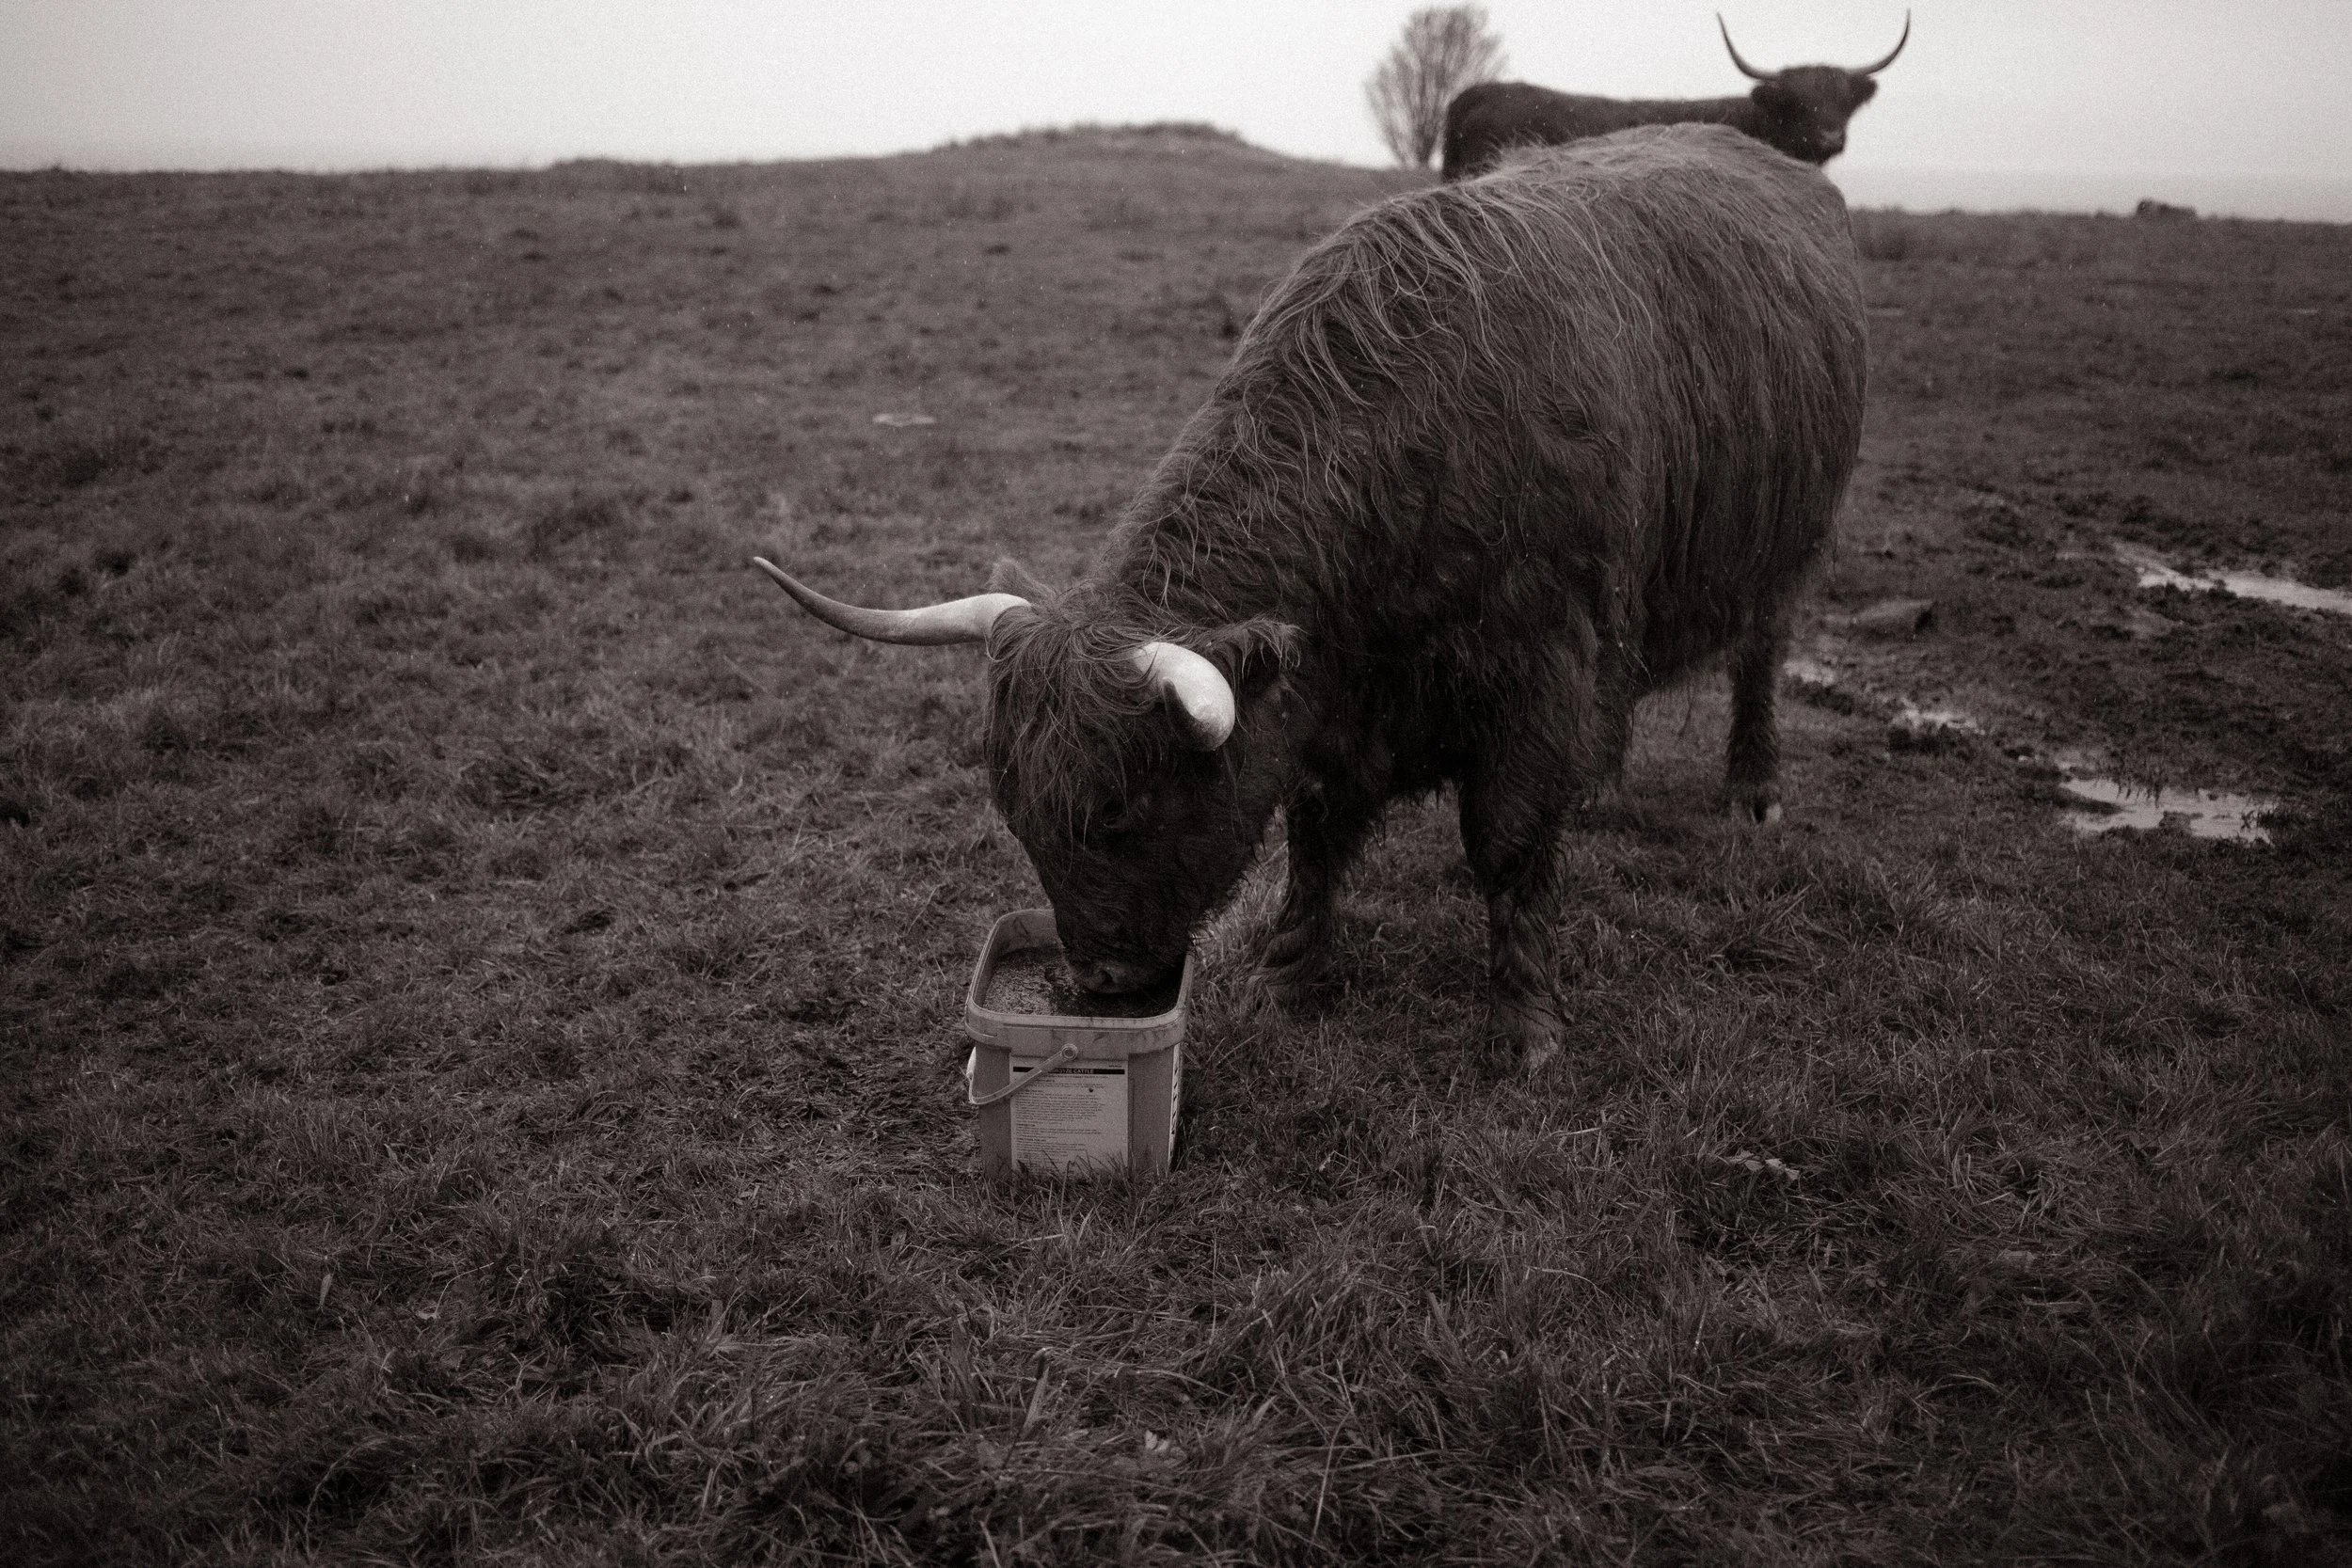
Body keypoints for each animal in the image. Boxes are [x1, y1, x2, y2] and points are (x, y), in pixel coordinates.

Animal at [755, 124, 1868, 1072]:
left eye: (1120, 811)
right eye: (1016, 812)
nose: (1103, 980)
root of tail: (1766, 154)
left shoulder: (1540, 662)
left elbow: (1507, 844)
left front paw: (1525, 1026)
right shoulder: (1332, 695)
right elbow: (1317, 830)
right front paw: (1289, 976)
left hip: (1785, 546)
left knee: (1758, 658)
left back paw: (1752, 789)